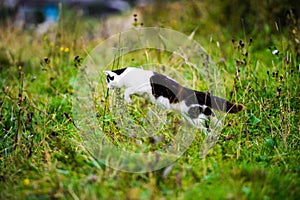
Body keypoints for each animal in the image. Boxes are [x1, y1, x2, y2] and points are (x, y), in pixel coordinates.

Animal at [104, 67, 243, 131]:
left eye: (108, 81)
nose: (107, 88)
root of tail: (191, 91)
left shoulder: (141, 87)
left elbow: (127, 91)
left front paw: (128, 100)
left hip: (194, 117)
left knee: (207, 129)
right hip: (200, 113)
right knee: (213, 119)